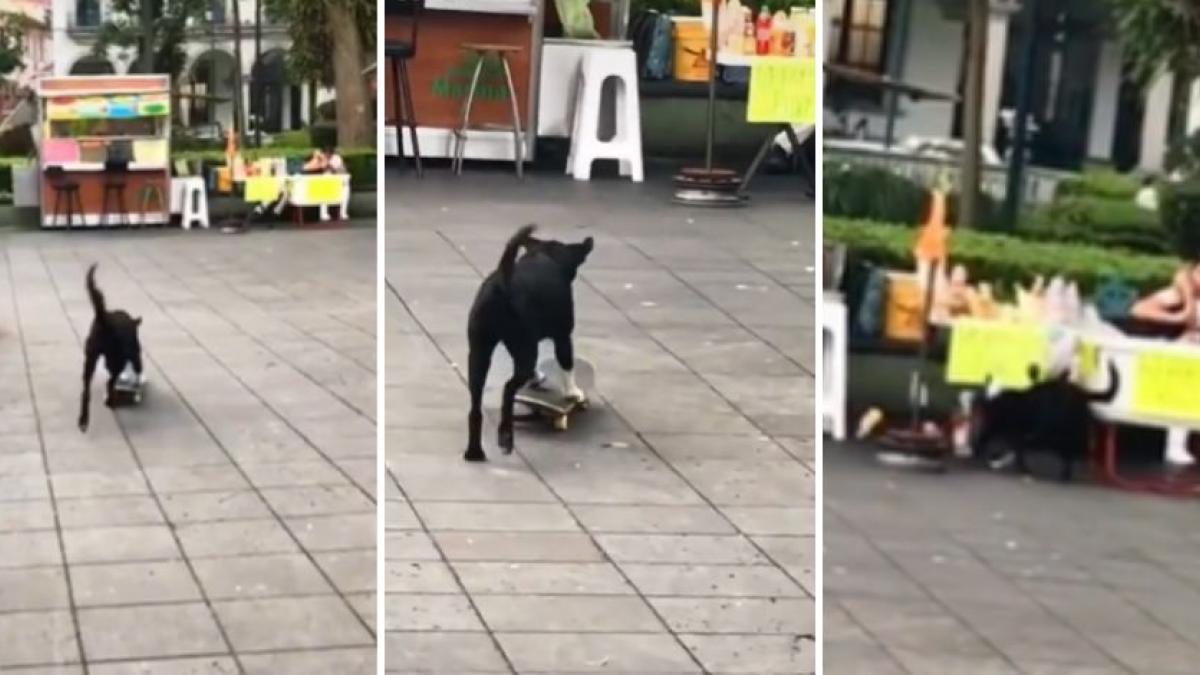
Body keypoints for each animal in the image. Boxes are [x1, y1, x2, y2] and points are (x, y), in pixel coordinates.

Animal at [78, 263, 144, 429]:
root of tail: (105, 320)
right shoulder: (135, 354)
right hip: (117, 360)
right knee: (110, 382)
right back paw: (110, 401)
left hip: (91, 357)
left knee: (86, 390)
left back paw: (83, 419)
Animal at [463, 223, 590, 458]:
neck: (544, 255)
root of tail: (502, 285)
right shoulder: (563, 336)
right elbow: (567, 364)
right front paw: (573, 393)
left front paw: (538, 377)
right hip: (524, 348)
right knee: (508, 388)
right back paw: (505, 436)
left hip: (479, 352)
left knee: (475, 405)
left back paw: (475, 452)